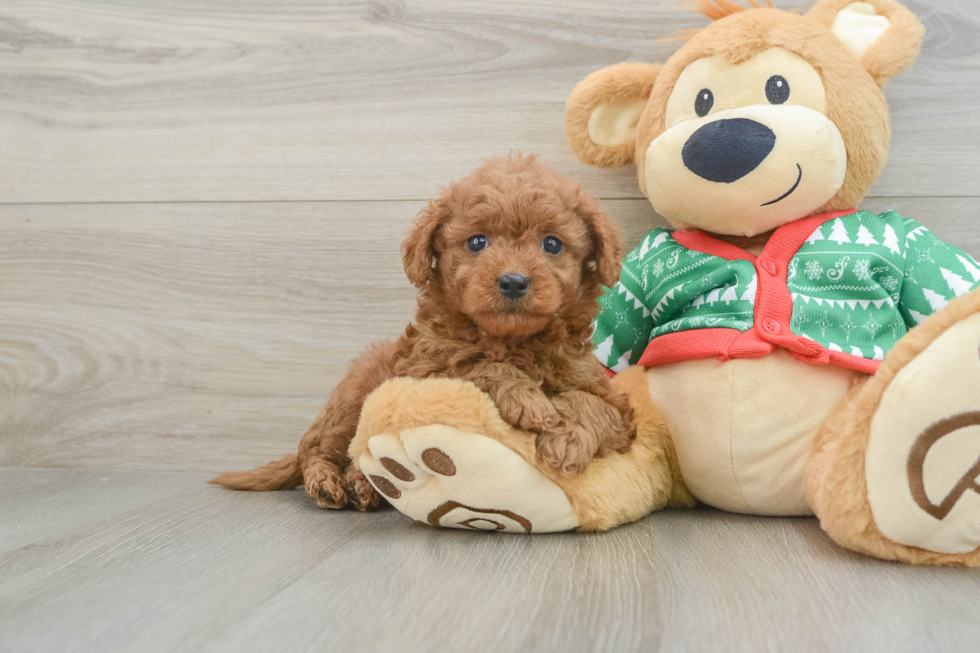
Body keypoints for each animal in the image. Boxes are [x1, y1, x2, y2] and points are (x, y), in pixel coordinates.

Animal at [211, 157, 636, 510]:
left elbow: (593, 404)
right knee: (317, 450)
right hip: (355, 397)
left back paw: (361, 486)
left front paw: (566, 440)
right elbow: (476, 365)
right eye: (477, 241)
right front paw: (528, 399)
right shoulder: (425, 371)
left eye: (552, 243)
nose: (513, 282)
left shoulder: (609, 397)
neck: (512, 341)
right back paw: (331, 483)